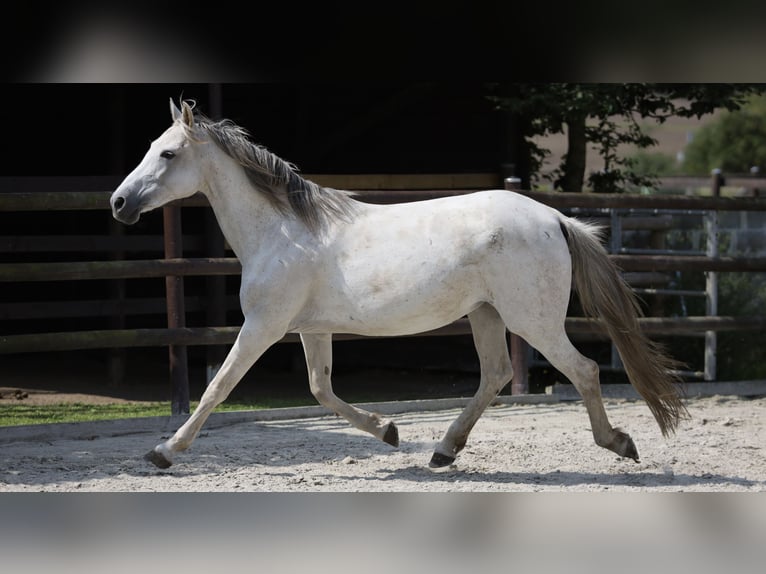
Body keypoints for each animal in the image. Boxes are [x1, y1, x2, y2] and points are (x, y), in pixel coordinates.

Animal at [111, 99, 688, 470]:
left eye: (168, 154)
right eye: (152, 146)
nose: (119, 203)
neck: (283, 232)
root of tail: (554, 218)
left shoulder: (263, 326)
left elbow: (218, 387)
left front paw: (163, 452)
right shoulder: (310, 330)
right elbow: (321, 389)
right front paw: (388, 432)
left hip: (532, 319)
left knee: (582, 369)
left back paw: (619, 443)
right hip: (487, 313)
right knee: (496, 374)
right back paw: (442, 451)